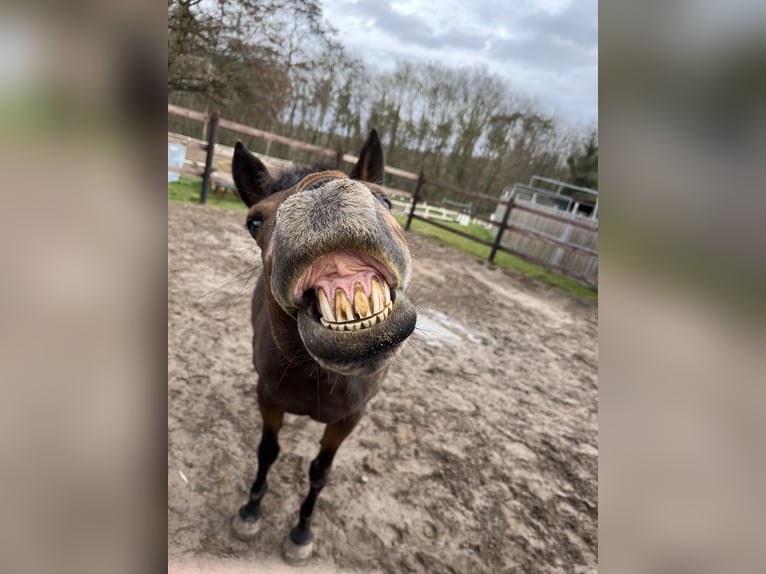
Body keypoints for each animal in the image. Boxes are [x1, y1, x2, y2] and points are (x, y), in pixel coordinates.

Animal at [230, 129, 416, 564]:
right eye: (254, 221)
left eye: (386, 199)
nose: (323, 193)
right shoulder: (268, 397)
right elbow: (267, 451)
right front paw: (250, 511)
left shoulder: (349, 418)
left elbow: (320, 471)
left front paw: (301, 532)